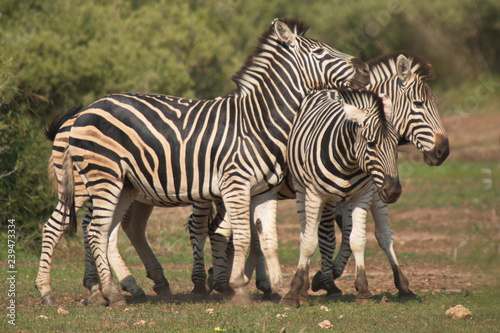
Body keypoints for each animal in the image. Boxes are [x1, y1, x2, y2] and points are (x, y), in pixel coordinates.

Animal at [36, 18, 372, 306]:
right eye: (320, 51)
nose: (365, 68)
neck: (259, 122)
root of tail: (86, 110)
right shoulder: (236, 185)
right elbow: (242, 237)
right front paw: (237, 287)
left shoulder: (264, 191)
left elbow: (268, 239)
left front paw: (278, 289)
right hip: (98, 179)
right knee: (79, 228)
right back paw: (66, 292)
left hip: (125, 185)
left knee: (106, 231)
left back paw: (115, 290)